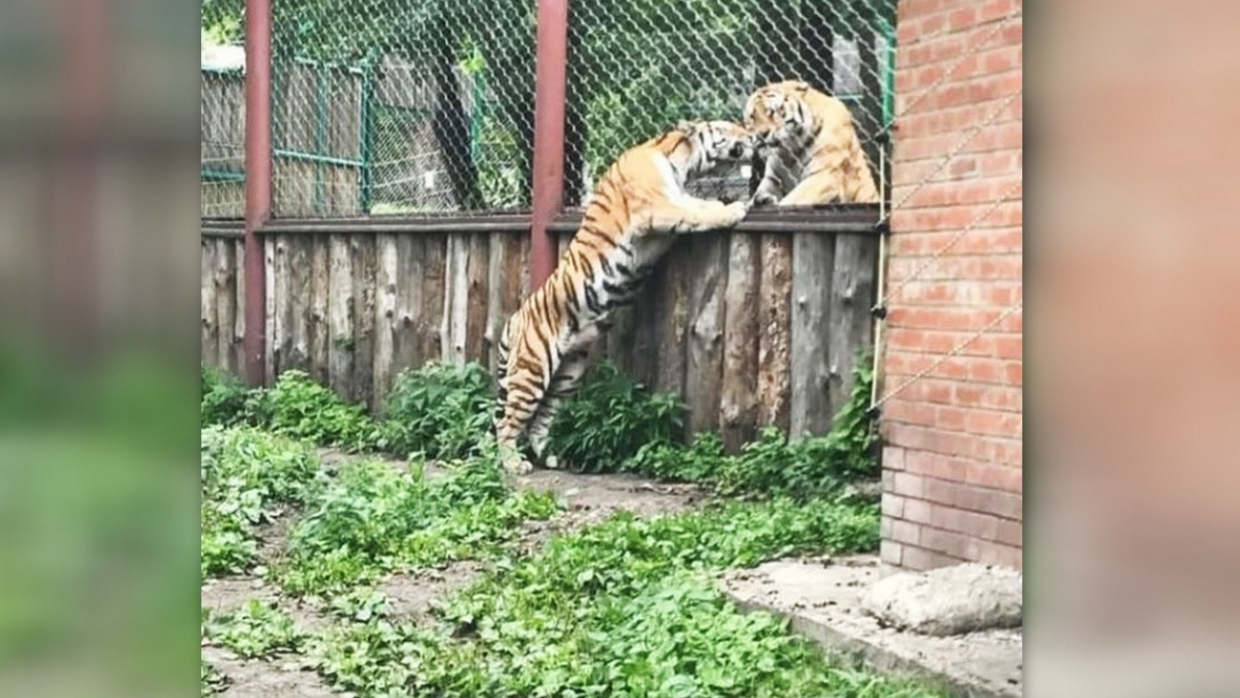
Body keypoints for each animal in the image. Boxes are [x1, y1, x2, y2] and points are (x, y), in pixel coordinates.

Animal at [488, 121, 748, 481]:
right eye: (727, 127)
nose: (751, 133)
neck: (677, 158)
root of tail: (515, 318)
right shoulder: (658, 205)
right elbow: (697, 213)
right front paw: (734, 208)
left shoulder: (672, 203)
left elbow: (696, 207)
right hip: (532, 369)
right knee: (508, 421)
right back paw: (514, 464)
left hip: (569, 373)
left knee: (541, 418)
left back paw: (551, 457)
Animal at [739, 79, 877, 205]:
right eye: (752, 117)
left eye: (773, 112)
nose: (761, 135)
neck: (789, 150)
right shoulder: (772, 179)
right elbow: (755, 196)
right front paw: (759, 200)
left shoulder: (824, 175)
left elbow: (791, 200)